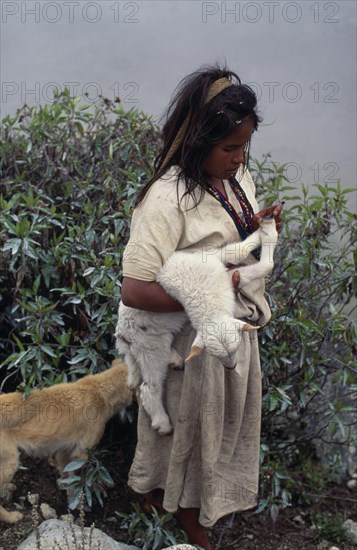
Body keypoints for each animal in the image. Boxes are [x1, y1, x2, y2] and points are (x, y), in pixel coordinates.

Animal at [0, 360, 132, 524]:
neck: (100, 391)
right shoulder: (81, 455)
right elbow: (78, 482)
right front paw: (77, 505)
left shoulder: (64, 452)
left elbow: (66, 477)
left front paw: (68, 497)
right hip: (11, 462)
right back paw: (10, 517)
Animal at [115, 218, 276, 438]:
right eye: (214, 356)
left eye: (236, 349)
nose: (231, 367)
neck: (205, 297)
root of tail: (122, 336)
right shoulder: (228, 278)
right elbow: (258, 266)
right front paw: (269, 234)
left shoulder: (210, 259)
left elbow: (236, 250)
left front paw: (265, 230)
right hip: (150, 349)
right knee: (149, 388)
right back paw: (162, 423)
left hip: (149, 345)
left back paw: (173, 360)